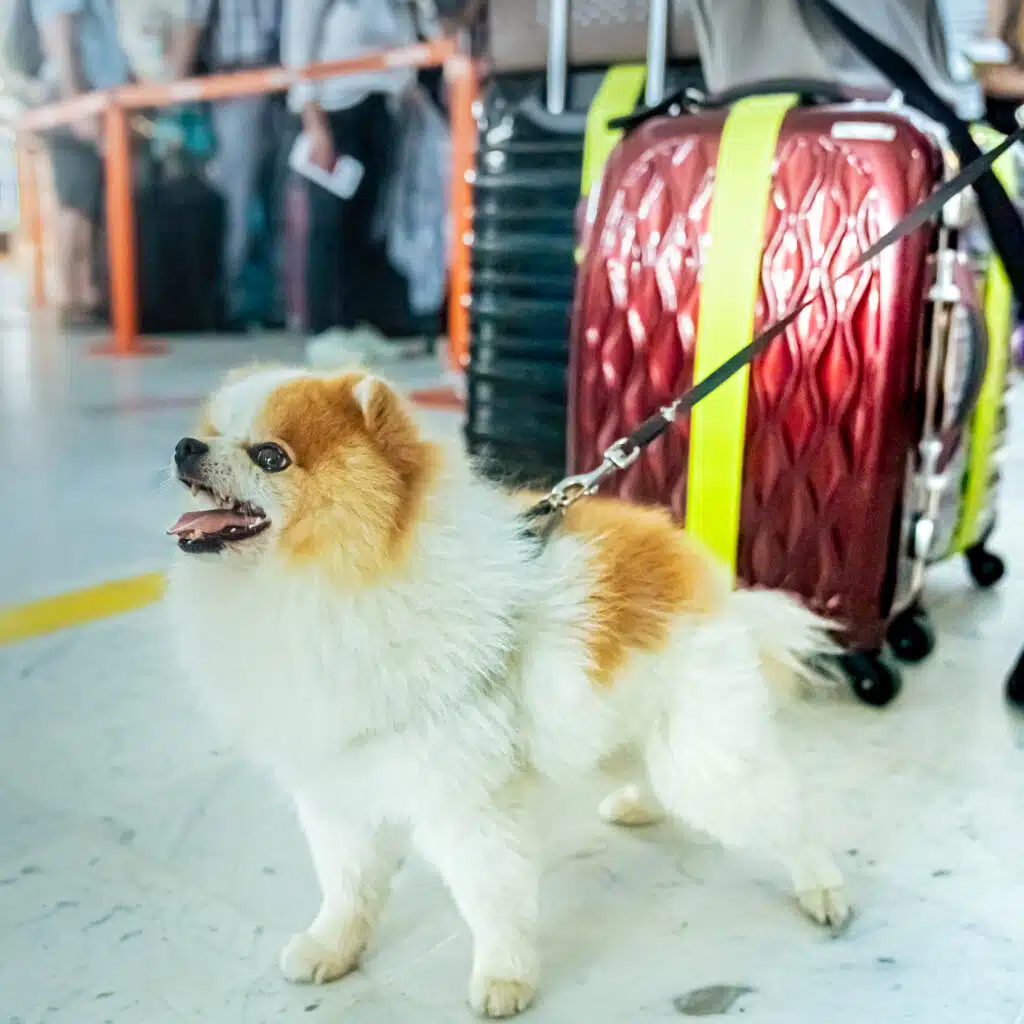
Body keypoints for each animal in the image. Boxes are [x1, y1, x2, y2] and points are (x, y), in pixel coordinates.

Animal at [167, 366, 851, 1015]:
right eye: (212, 430)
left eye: (271, 457)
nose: (184, 446)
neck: (320, 587)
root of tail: (707, 581)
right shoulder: (339, 788)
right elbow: (347, 886)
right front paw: (332, 947)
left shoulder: (467, 798)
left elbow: (490, 897)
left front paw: (504, 977)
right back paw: (638, 803)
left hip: (704, 764)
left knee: (784, 817)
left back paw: (823, 889)